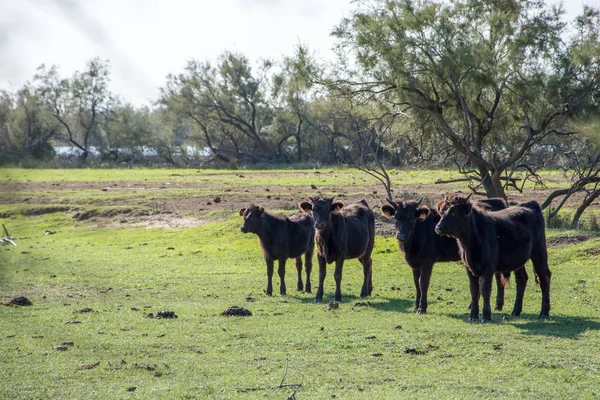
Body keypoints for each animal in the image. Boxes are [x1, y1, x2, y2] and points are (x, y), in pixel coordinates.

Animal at [434, 194, 552, 322]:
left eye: (454, 212)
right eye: (442, 211)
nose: (438, 227)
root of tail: (531, 204)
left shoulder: (488, 268)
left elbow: (485, 289)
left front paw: (486, 315)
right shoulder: (469, 267)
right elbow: (474, 290)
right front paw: (473, 315)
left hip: (539, 252)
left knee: (544, 277)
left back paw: (544, 312)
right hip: (519, 260)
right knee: (522, 279)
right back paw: (516, 311)